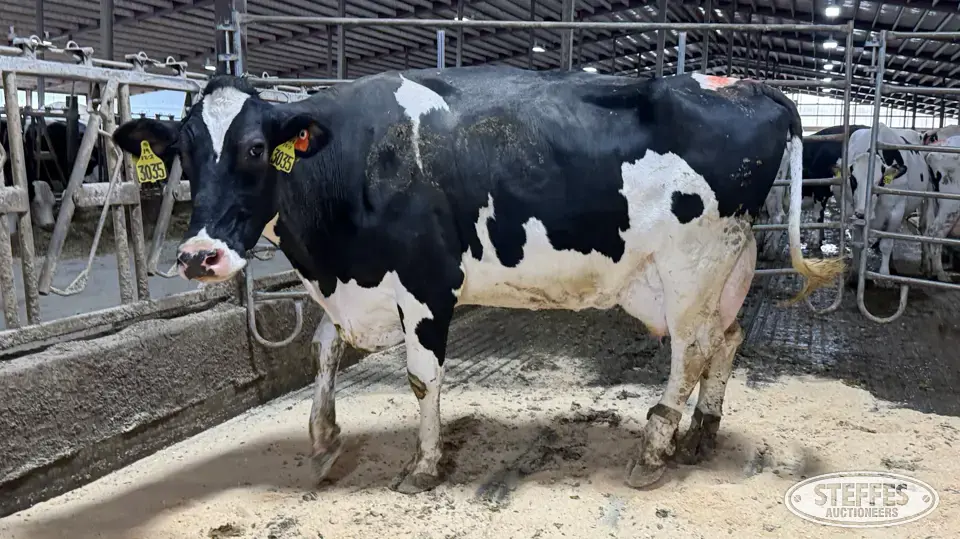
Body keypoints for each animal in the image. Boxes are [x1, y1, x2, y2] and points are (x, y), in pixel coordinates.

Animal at [111, 69, 843, 493]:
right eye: (181, 153)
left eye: (257, 148)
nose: (199, 256)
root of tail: (752, 88)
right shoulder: (357, 289)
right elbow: (322, 347)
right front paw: (322, 440)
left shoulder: (424, 282)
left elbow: (420, 378)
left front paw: (423, 466)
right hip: (726, 263)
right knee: (728, 339)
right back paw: (701, 433)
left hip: (690, 262)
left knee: (690, 352)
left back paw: (657, 445)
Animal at [834, 125, 930, 281]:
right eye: (853, 179)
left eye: (880, 181)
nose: (861, 213)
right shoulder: (851, 212)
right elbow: (857, 244)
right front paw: (855, 272)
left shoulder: (896, 212)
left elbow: (887, 244)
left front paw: (884, 274)